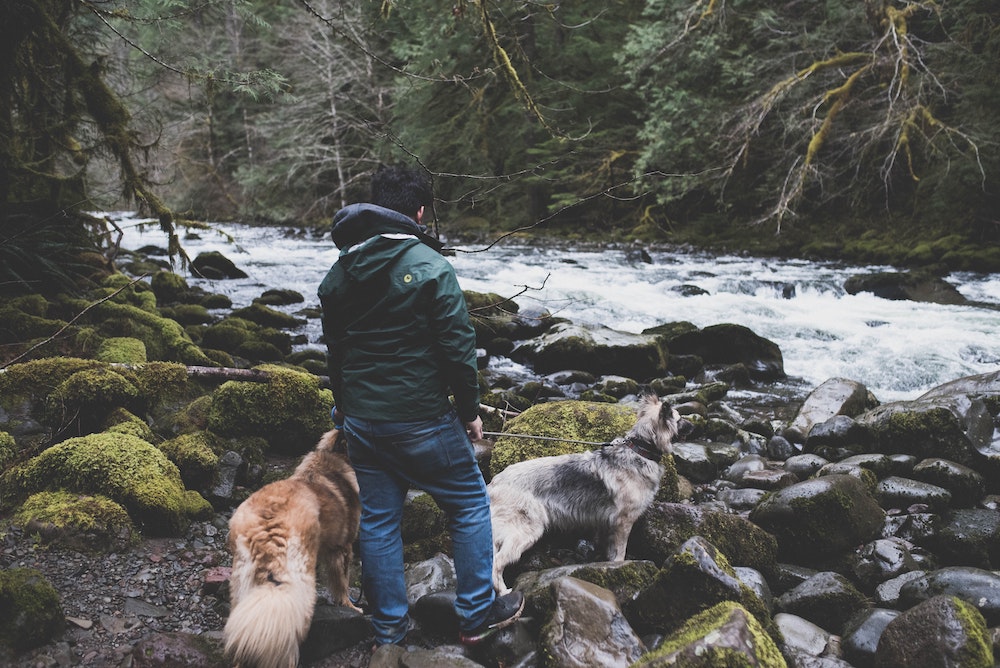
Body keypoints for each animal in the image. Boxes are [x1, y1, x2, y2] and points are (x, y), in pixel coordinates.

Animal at [223, 428, 360, 668]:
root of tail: (267, 526)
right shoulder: (342, 548)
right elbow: (342, 584)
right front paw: (352, 607)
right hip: (300, 582)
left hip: (242, 581)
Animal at [488, 394, 692, 592]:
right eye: (679, 418)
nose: (694, 426)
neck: (640, 450)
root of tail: (494, 483)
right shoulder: (623, 523)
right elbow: (620, 551)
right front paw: (620, 566)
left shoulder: (605, 524)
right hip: (526, 530)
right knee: (496, 563)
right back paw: (503, 591)